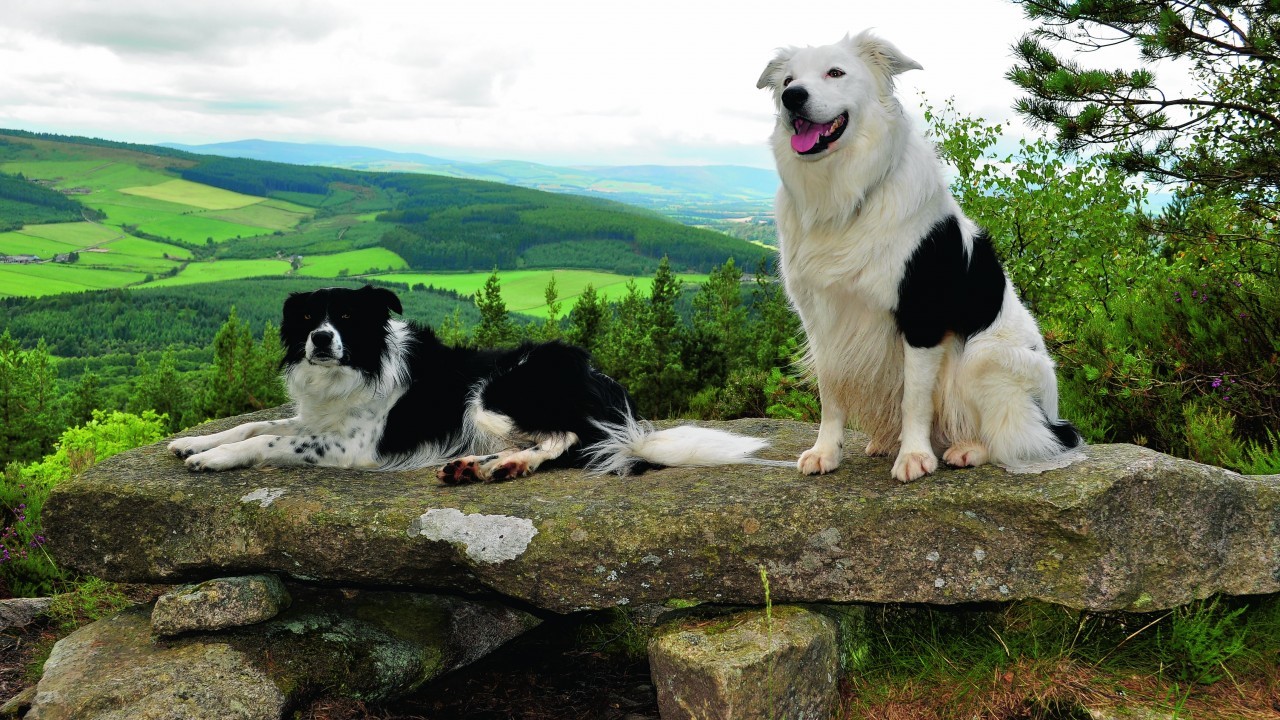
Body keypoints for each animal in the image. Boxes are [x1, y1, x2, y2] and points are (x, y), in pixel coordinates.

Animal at [168, 283, 778, 479]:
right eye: (308, 318)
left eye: (345, 318)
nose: (320, 340)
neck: (353, 371)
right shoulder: (315, 419)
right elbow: (253, 425)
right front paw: (194, 442)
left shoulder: (350, 447)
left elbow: (269, 438)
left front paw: (213, 459)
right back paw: (476, 465)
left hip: (493, 392)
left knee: (565, 440)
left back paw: (503, 465)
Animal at [752, 33, 1085, 481]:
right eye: (788, 79)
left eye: (835, 72)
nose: (793, 97)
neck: (846, 197)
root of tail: (1054, 416)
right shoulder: (823, 320)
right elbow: (830, 392)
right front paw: (825, 452)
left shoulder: (921, 316)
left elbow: (915, 397)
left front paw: (914, 456)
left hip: (985, 359)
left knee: (1016, 438)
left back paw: (967, 449)